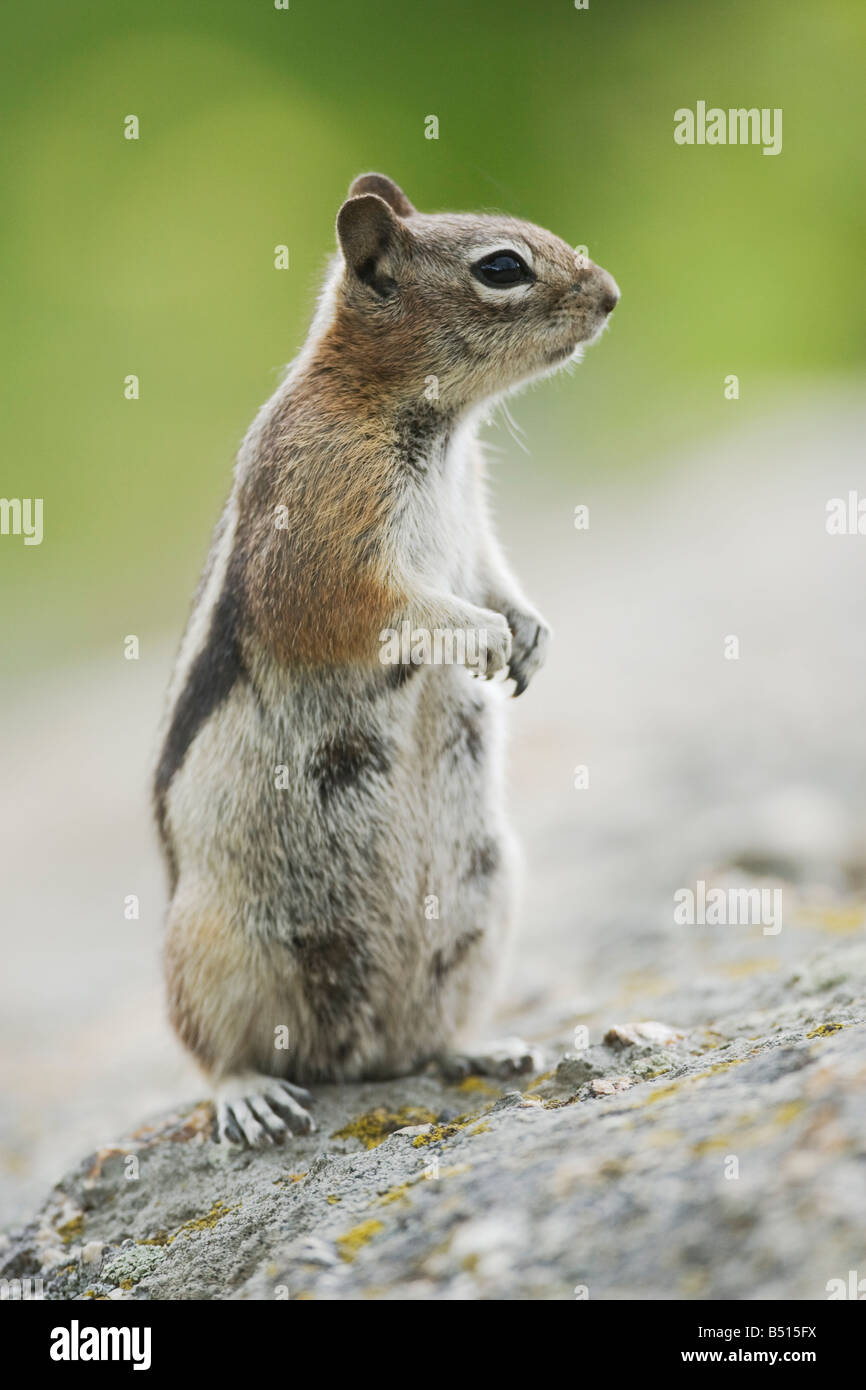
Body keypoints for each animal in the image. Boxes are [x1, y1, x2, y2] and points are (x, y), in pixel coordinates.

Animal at [154, 173, 617, 1145]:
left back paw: (482, 1050)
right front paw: (482, 635)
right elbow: (374, 607)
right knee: (212, 1048)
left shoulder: (472, 521)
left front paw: (528, 634)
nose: (611, 296)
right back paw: (250, 1095)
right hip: (214, 944)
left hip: (487, 900)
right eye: (503, 267)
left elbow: (492, 575)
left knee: (426, 1037)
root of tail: (350, 1061)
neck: (438, 425)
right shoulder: (322, 519)